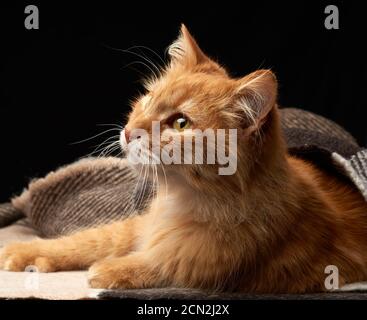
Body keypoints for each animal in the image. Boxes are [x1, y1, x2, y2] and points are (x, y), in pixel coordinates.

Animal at [0, 26, 367, 294]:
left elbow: (163, 262)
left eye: (180, 123)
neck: (180, 203)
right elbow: (88, 240)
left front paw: (111, 269)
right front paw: (25, 252)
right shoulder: (138, 226)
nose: (129, 131)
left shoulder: (209, 262)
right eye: (147, 100)